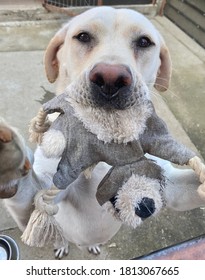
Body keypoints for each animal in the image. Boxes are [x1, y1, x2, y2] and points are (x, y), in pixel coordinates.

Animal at [0, 6, 204, 260]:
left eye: (144, 42)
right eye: (83, 37)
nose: (110, 78)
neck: (107, 137)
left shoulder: (169, 186)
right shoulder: (39, 196)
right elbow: (31, 194)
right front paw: (9, 159)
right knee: (58, 234)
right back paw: (62, 244)